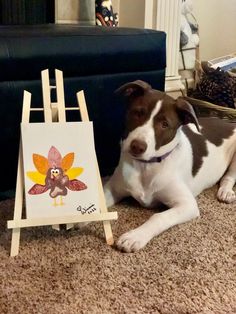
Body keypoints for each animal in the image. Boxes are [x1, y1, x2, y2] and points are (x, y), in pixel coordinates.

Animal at [104, 80, 236, 253]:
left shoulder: (187, 204)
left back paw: (226, 192)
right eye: (138, 113)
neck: (146, 166)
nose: (137, 147)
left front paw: (135, 237)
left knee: (229, 177)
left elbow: (158, 216)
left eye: (164, 124)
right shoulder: (113, 188)